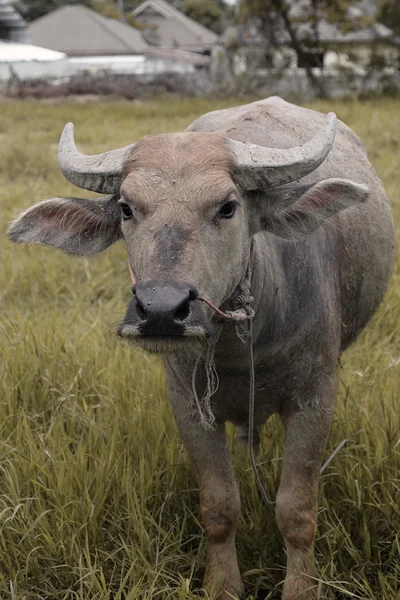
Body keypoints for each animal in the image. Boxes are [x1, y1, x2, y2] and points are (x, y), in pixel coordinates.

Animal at [7, 98, 396, 600]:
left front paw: (301, 587)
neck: (240, 352)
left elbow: (296, 512)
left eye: (227, 207)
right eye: (127, 209)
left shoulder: (315, 399)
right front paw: (222, 585)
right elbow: (218, 507)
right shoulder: (188, 405)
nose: (159, 309)